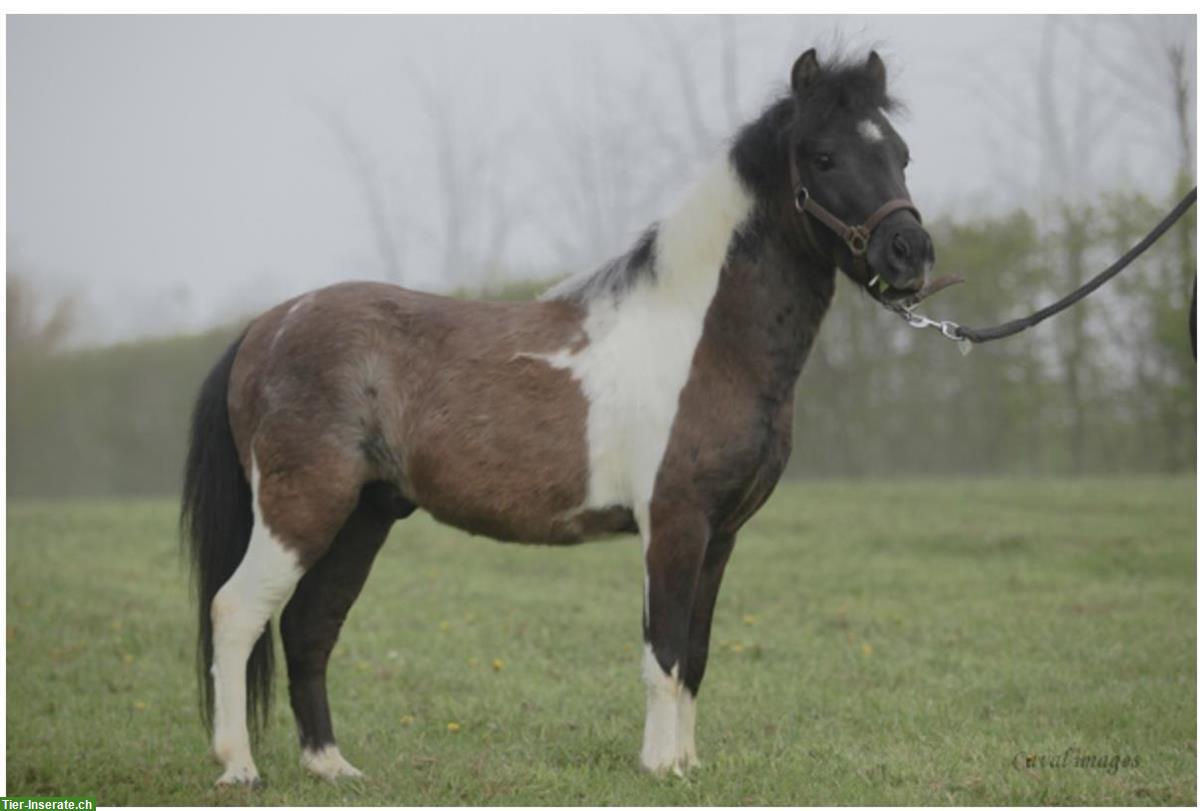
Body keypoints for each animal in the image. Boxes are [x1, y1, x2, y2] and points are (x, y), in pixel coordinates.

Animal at [177, 50, 931, 787]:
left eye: (900, 152)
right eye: (824, 156)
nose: (910, 254)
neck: (704, 338)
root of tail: (267, 326)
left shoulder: (720, 536)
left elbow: (696, 653)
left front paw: (688, 763)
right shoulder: (674, 524)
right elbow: (663, 654)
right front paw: (660, 766)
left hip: (363, 516)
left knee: (309, 625)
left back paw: (331, 764)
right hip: (301, 510)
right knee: (236, 611)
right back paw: (239, 768)